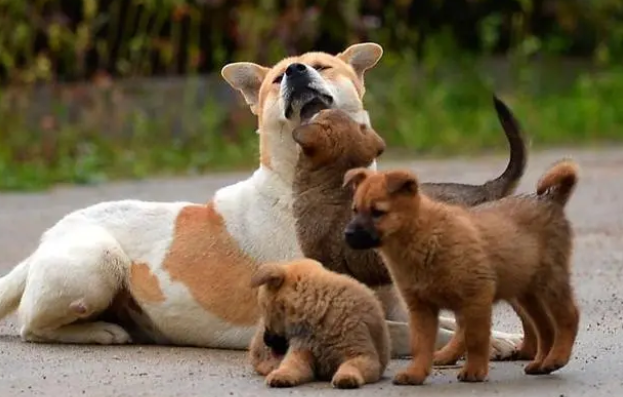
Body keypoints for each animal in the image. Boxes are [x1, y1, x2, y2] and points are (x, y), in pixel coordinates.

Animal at [0, 41, 528, 358]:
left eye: (323, 66)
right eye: (276, 80)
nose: (294, 70)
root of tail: (49, 238)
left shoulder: (392, 301)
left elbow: (447, 322)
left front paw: (502, 338)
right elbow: (413, 335)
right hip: (98, 260)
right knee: (31, 325)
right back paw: (103, 332)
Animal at [249, 256, 390, 386]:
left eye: (265, 309)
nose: (266, 340)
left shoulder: (363, 355)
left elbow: (351, 365)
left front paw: (346, 377)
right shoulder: (302, 350)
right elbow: (291, 365)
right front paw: (281, 374)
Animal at [344, 159, 584, 384]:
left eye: (377, 212)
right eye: (354, 210)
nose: (347, 234)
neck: (422, 234)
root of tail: (550, 200)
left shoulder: (475, 296)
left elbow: (475, 338)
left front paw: (474, 371)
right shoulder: (421, 308)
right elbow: (421, 344)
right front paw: (416, 373)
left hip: (549, 282)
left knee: (568, 316)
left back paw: (557, 357)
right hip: (526, 291)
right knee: (545, 327)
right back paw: (539, 362)